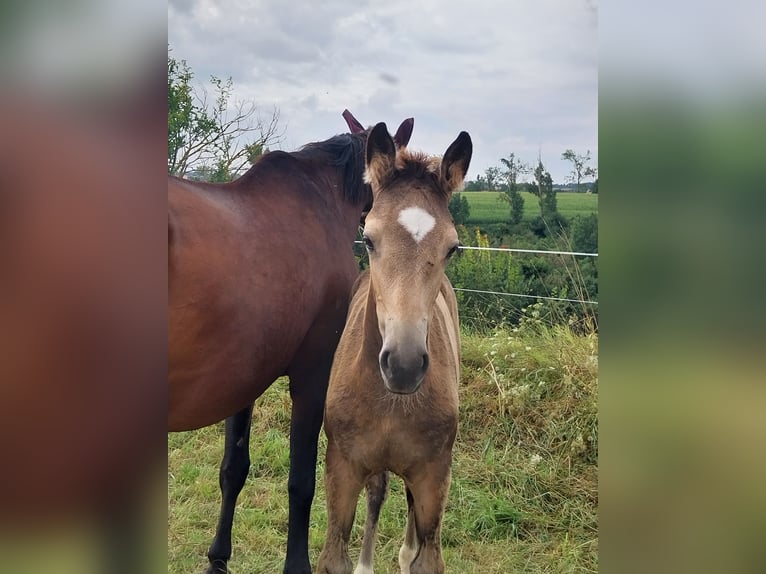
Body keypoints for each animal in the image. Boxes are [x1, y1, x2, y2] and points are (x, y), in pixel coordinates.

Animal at [316, 122, 472, 574]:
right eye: (368, 239)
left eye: (452, 247)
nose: (403, 365)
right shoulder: (342, 467)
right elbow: (335, 555)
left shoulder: (434, 475)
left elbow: (425, 555)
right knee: (379, 490)